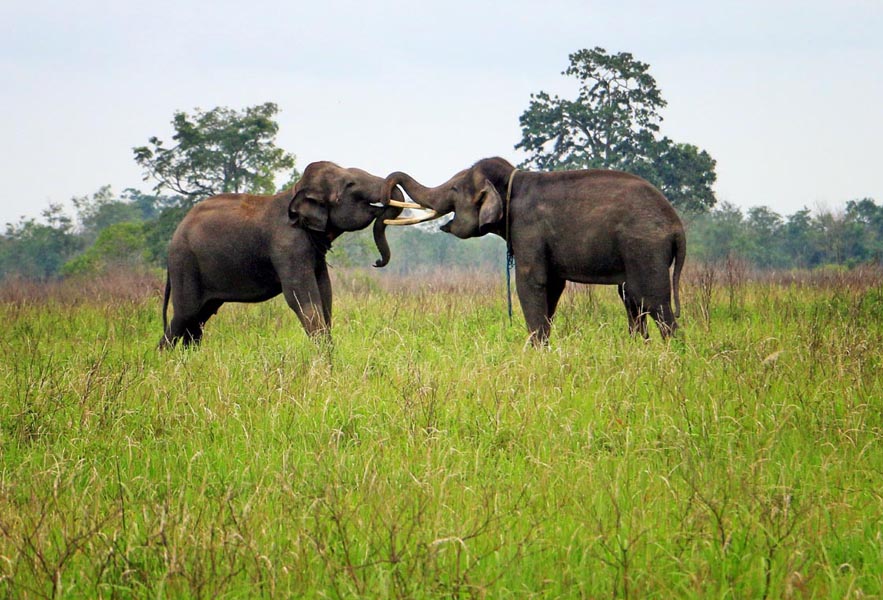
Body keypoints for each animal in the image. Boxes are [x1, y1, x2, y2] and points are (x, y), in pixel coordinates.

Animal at [159, 162, 408, 350]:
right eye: (350, 184)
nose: (377, 262)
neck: (295, 191)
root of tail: (175, 236)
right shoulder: (288, 245)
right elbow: (302, 298)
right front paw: (325, 364)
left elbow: (325, 295)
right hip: (185, 264)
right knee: (185, 315)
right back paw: (166, 360)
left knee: (199, 318)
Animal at [384, 157, 688, 344]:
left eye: (456, 188)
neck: (512, 180)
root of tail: (677, 227)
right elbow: (552, 287)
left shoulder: (527, 229)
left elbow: (531, 282)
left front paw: (535, 350)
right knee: (631, 299)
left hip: (644, 248)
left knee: (651, 300)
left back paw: (672, 353)